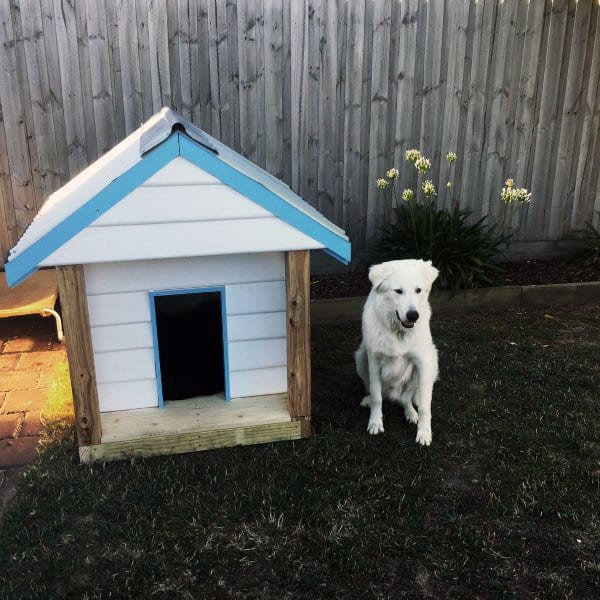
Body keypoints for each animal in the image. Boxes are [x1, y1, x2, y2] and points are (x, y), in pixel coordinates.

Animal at [354, 258, 438, 446]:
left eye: (418, 290)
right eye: (398, 291)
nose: (413, 315)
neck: (399, 331)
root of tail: (393, 395)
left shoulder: (423, 362)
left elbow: (425, 406)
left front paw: (424, 433)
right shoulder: (374, 361)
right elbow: (377, 397)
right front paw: (375, 423)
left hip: (431, 363)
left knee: (407, 398)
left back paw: (411, 413)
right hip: (361, 357)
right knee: (376, 391)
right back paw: (368, 400)